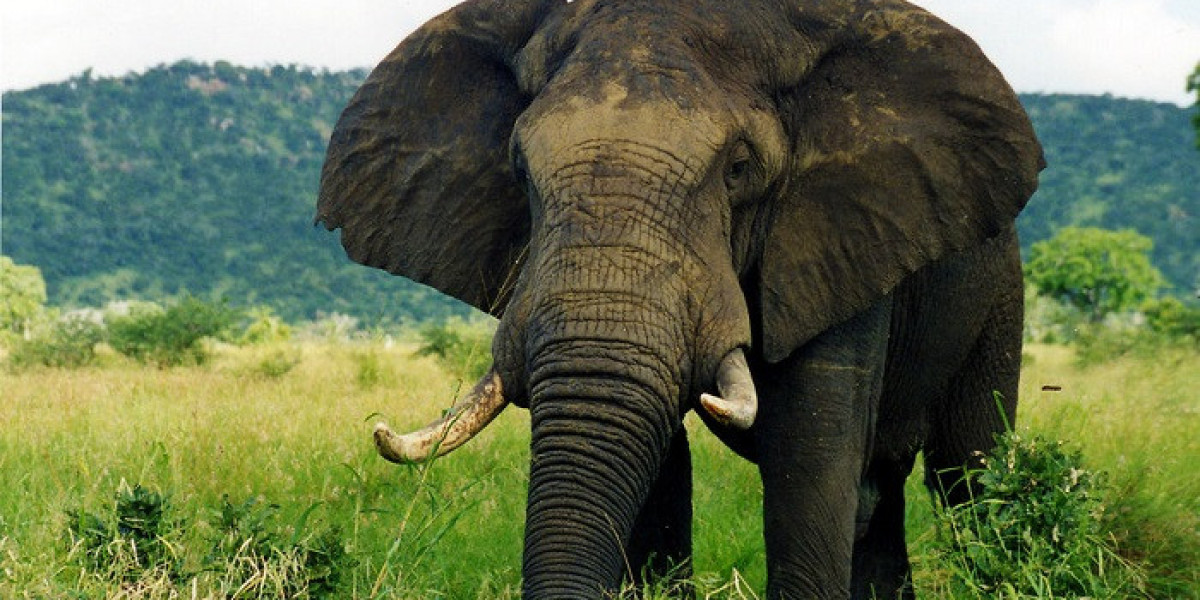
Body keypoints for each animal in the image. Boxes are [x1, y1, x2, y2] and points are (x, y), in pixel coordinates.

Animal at [315, 0, 1044, 597]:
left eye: (739, 169)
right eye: (519, 171)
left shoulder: (840, 228)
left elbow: (809, 461)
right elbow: (655, 466)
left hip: (998, 294)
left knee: (966, 475)